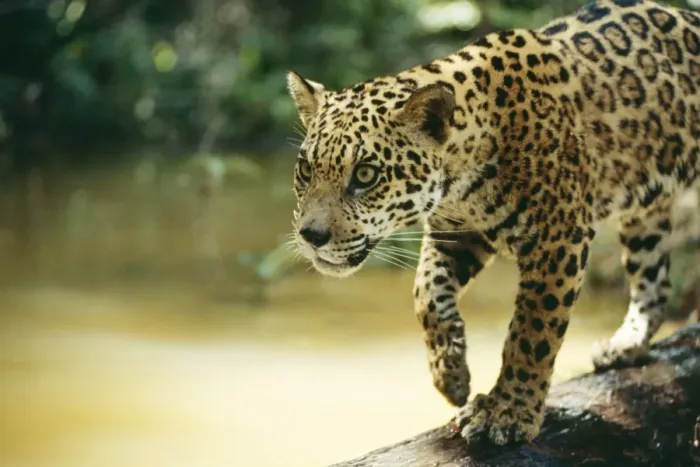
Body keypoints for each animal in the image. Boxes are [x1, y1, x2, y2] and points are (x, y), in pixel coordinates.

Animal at [286, 0, 700, 446]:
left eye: (365, 174)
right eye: (307, 169)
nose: (311, 236)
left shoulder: (558, 239)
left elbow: (532, 331)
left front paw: (508, 412)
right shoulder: (456, 232)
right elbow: (426, 294)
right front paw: (450, 374)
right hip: (645, 215)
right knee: (654, 278)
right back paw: (626, 344)